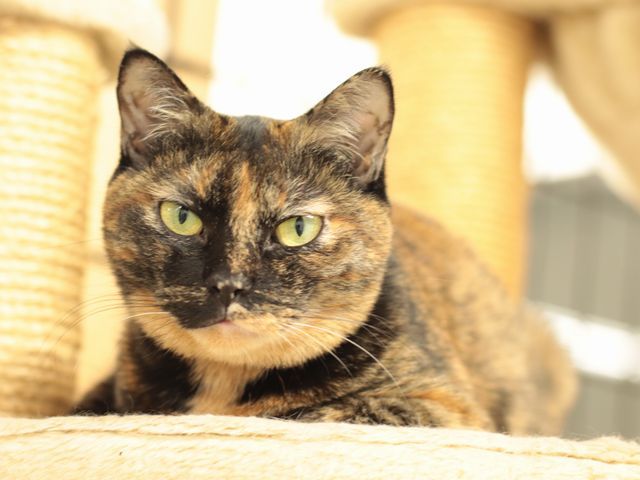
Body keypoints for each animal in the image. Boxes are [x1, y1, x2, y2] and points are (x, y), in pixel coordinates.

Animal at [75, 48, 576, 434]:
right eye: (182, 216)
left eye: (297, 227)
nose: (228, 285)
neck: (223, 383)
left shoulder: (446, 408)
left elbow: (310, 412)